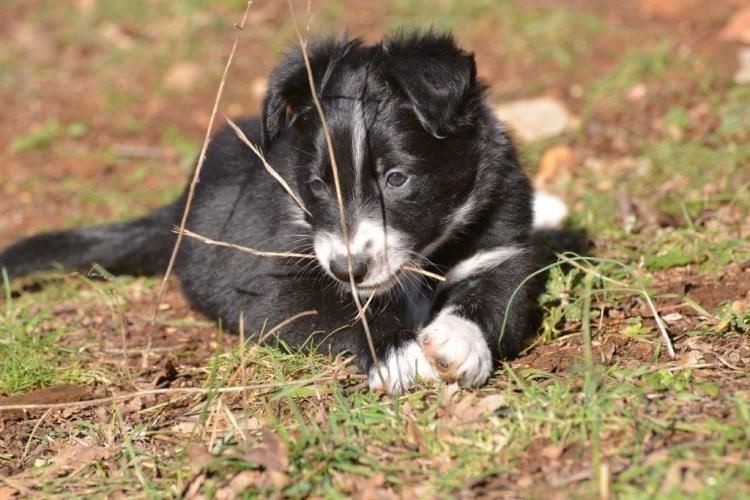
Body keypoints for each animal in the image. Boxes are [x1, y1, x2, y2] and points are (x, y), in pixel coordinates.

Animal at [0, 33, 568, 396]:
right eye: (315, 185)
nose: (348, 269)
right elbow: (340, 310)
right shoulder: (273, 278)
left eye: (397, 179)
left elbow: (496, 298)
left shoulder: (502, 247)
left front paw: (456, 344)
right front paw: (397, 353)